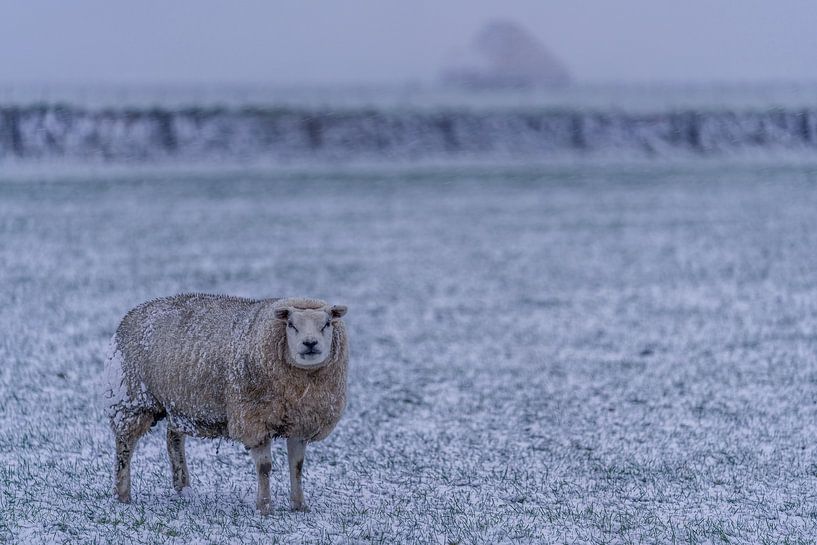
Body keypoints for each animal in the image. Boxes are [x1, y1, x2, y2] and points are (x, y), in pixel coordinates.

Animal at [102, 292, 348, 512]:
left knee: (173, 440)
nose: (310, 343)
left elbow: (297, 467)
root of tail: (133, 312)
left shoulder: (300, 423)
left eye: (327, 323)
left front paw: (299, 506)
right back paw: (123, 495)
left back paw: (183, 489)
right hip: (131, 400)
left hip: (180, 402)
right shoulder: (253, 419)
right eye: (291, 325)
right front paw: (264, 507)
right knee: (124, 447)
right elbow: (265, 468)